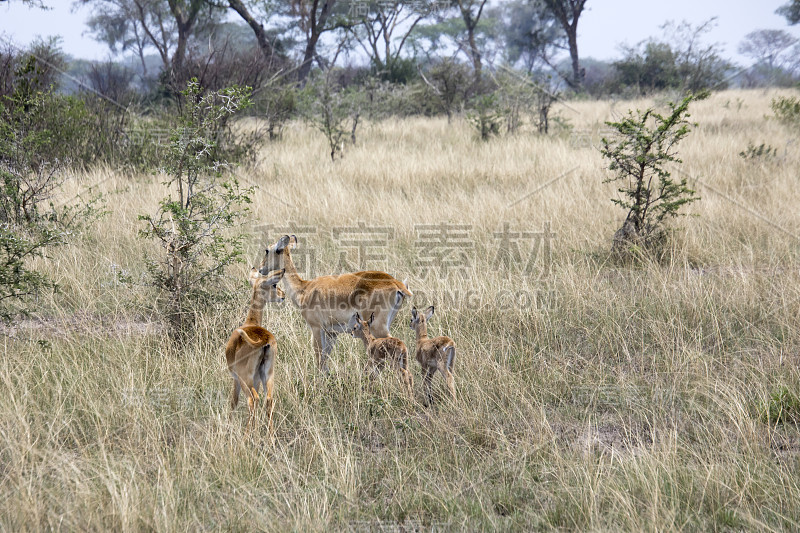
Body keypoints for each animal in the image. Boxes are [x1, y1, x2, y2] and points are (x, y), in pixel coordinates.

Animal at [223, 268, 286, 430]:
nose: (283, 295)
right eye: (274, 284)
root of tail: (264, 340)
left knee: (253, 400)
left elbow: (233, 402)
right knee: (269, 400)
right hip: (268, 374)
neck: (250, 322)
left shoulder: (236, 378)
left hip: (245, 378)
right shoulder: (257, 378)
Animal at [260, 235, 412, 372]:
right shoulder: (332, 333)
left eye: (267, 250)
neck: (304, 289)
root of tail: (396, 283)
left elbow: (319, 359)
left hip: (378, 327)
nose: (261, 269)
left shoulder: (317, 328)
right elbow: (325, 361)